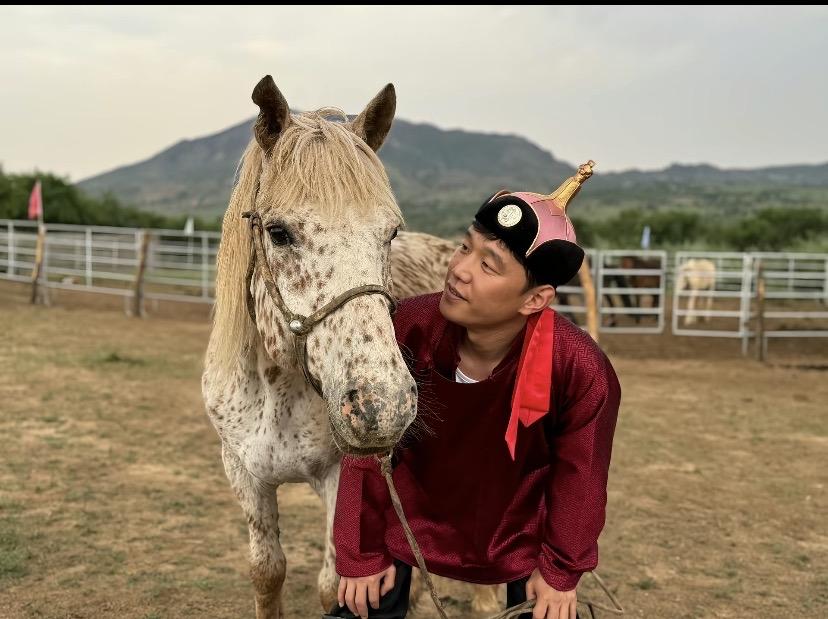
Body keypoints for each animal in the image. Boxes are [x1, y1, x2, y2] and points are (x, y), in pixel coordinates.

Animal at [201, 76, 497, 618]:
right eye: (278, 232)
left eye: (391, 232)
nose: (382, 406)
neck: (276, 390)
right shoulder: (244, 473)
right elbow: (266, 571)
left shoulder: (342, 479)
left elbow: (334, 584)